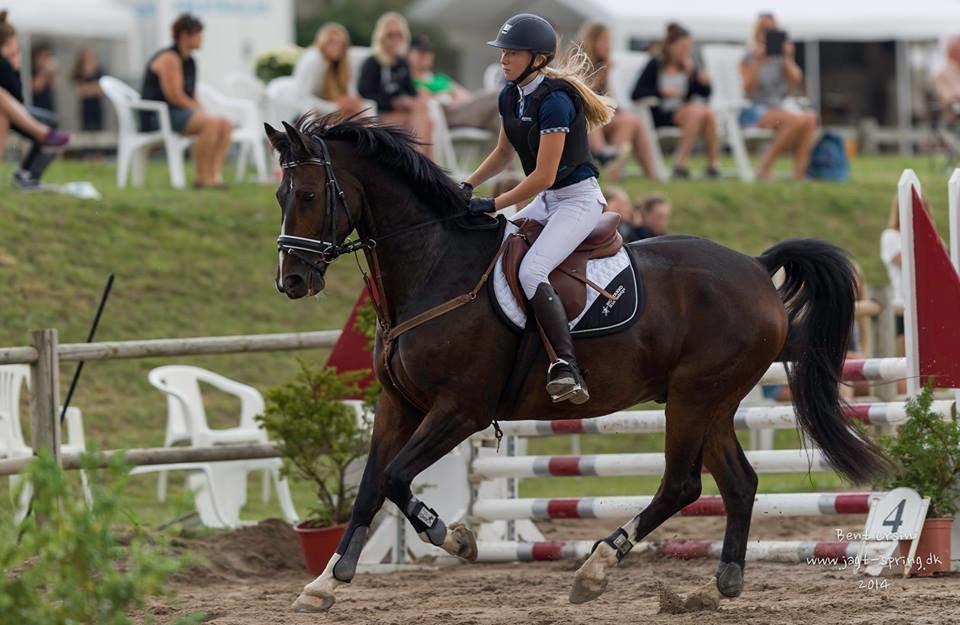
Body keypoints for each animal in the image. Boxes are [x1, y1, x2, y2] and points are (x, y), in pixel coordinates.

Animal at [264, 114, 892, 612]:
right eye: (279, 197)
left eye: (311, 196)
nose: (291, 281)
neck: (436, 266)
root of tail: (757, 269)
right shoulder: (400, 405)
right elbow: (373, 486)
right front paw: (325, 583)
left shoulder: (459, 411)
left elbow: (397, 478)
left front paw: (456, 538)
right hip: (709, 400)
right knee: (738, 483)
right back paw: (721, 582)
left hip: (695, 396)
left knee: (682, 484)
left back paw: (597, 568)